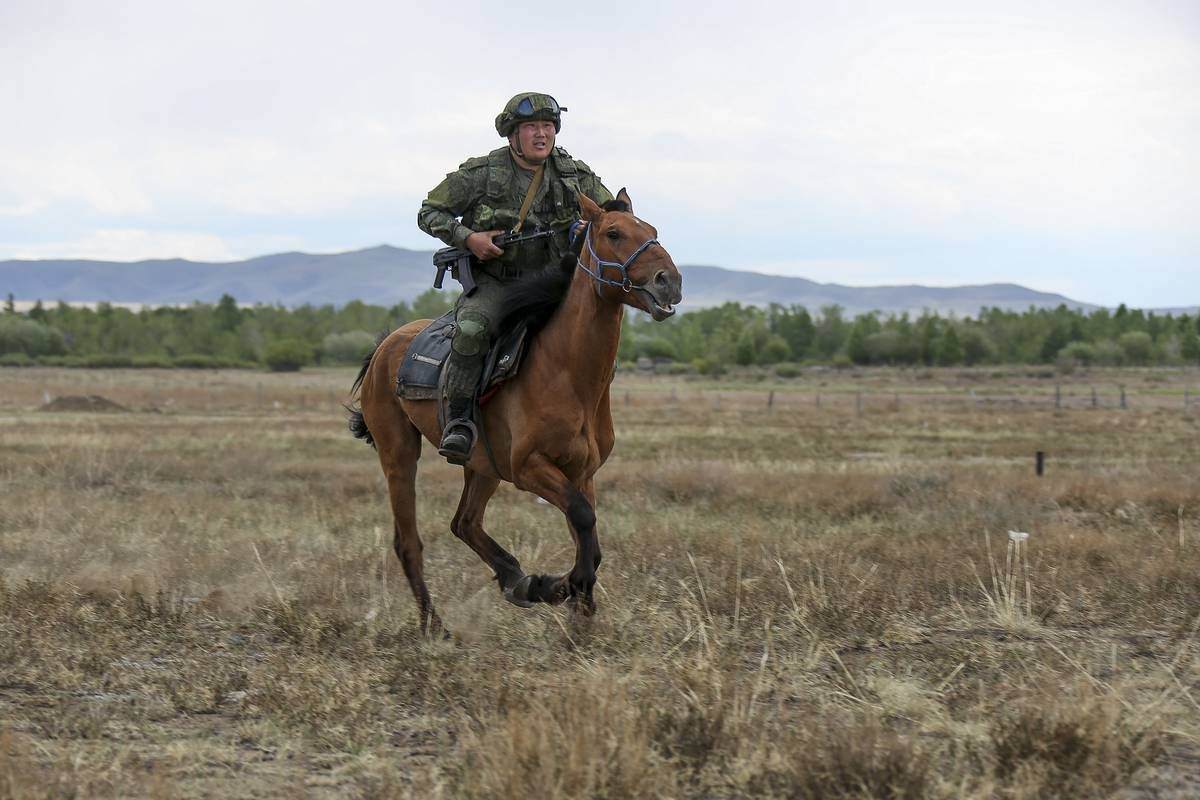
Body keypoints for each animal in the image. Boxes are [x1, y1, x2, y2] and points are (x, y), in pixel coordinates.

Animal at [350, 189, 681, 633]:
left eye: (652, 229)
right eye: (613, 233)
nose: (670, 281)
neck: (566, 371)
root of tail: (385, 346)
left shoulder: (581, 472)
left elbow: (588, 537)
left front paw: (577, 607)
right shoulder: (529, 468)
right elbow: (582, 519)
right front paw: (566, 587)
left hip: (482, 465)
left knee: (465, 522)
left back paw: (517, 580)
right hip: (400, 456)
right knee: (409, 542)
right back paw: (436, 626)